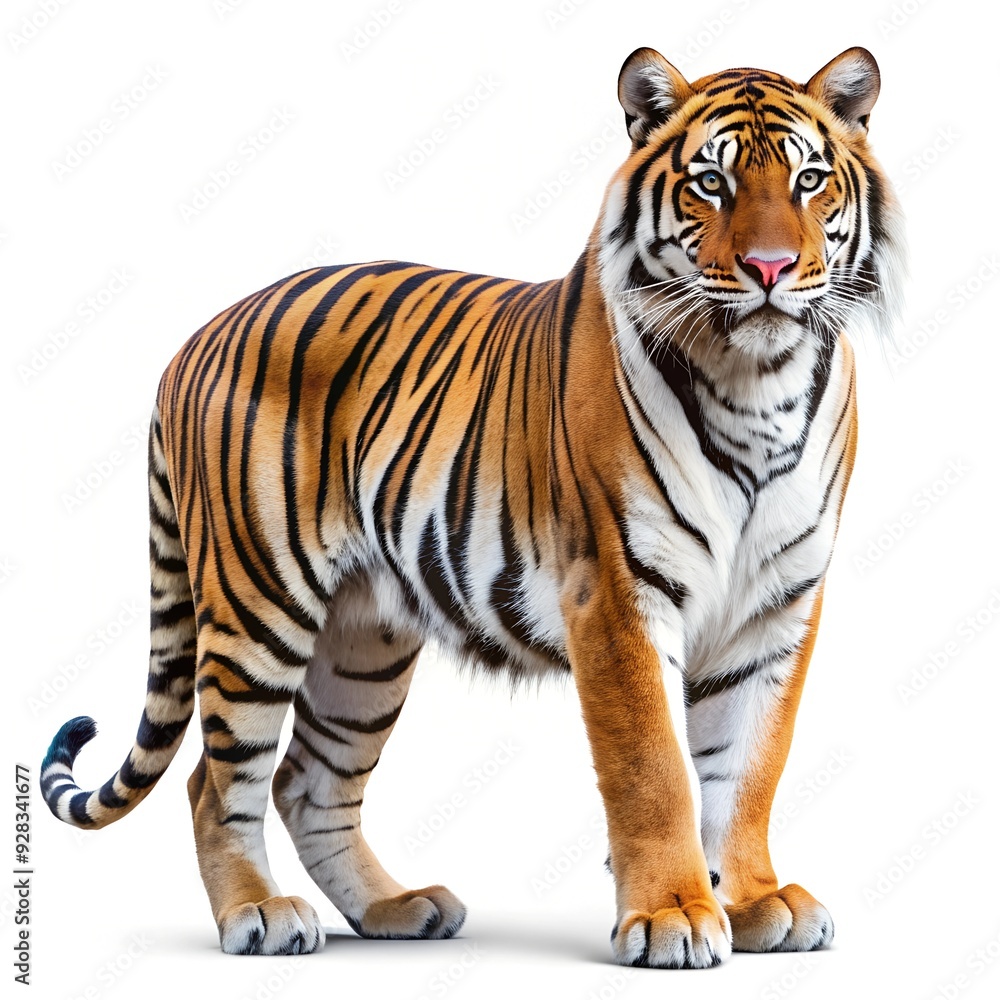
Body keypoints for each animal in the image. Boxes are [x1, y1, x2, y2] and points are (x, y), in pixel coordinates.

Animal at [41, 45, 904, 968]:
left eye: (810, 180)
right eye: (712, 183)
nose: (771, 270)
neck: (758, 382)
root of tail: (191, 338)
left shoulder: (775, 607)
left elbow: (749, 767)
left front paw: (751, 902)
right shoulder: (617, 596)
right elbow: (656, 770)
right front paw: (671, 915)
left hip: (365, 639)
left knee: (309, 781)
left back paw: (398, 909)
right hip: (258, 601)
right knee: (216, 777)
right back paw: (260, 914)